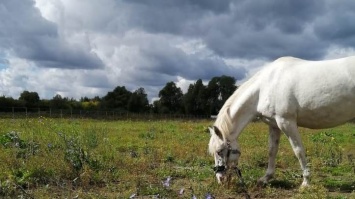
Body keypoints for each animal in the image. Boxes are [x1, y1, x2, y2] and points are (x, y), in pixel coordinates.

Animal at [209, 55, 355, 187]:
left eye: (219, 151)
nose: (220, 179)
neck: (265, 87)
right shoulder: (274, 125)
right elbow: (272, 150)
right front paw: (266, 178)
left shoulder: (286, 122)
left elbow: (298, 150)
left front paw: (306, 182)